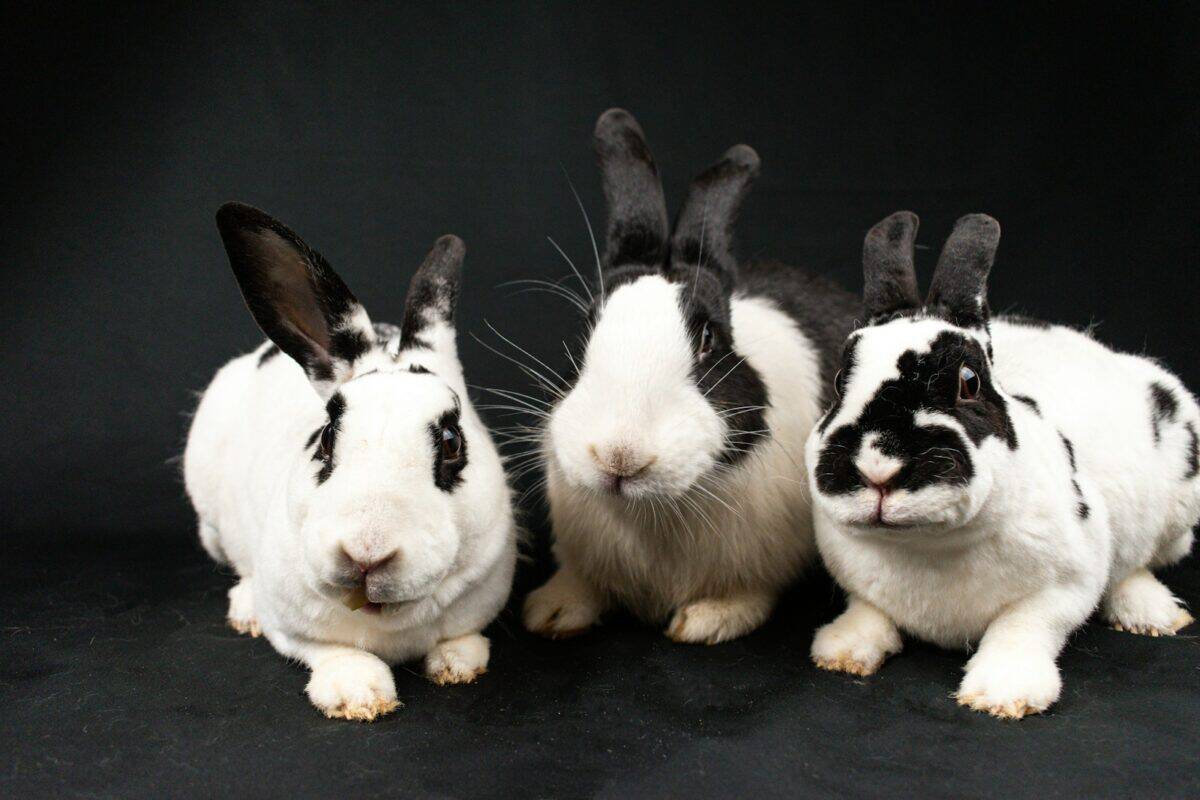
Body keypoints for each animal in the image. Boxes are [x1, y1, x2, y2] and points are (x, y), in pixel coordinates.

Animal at [183, 203, 516, 721]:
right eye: (324, 438)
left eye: (451, 443)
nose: (365, 553)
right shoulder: (293, 627)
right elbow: (332, 651)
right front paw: (357, 695)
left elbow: (463, 638)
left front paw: (457, 666)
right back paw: (245, 609)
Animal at [522, 109, 861, 644]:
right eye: (586, 328)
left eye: (708, 340)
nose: (619, 456)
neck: (651, 512)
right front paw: (551, 611)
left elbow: (747, 594)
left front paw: (706, 621)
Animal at [806, 210, 1198, 719]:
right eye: (839, 382)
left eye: (969, 382)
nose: (877, 468)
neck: (927, 546)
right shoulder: (858, 584)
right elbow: (868, 612)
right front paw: (841, 651)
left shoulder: (1065, 586)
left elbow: (1021, 628)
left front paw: (1003, 694)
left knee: (1138, 564)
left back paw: (1154, 614)